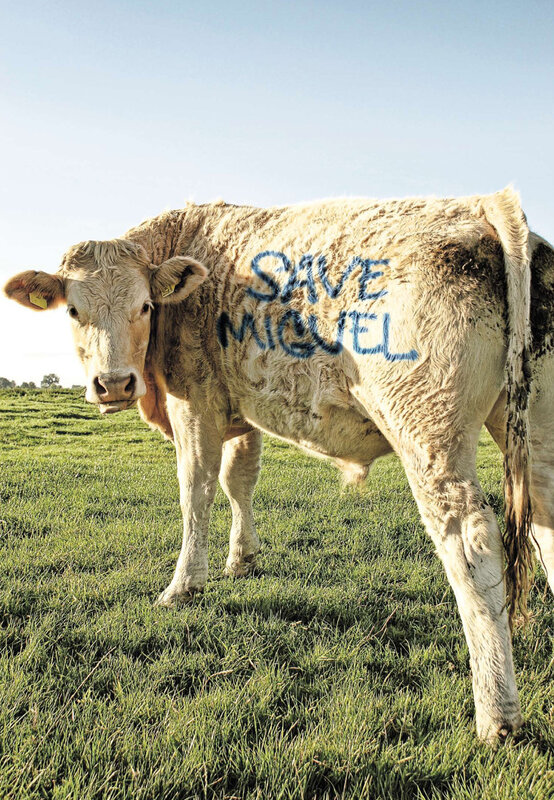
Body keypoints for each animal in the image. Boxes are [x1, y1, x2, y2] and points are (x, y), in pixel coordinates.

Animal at [4, 187, 553, 742]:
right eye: (74, 311)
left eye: (144, 306)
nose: (114, 384)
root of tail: (480, 206)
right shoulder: (241, 408)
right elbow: (238, 481)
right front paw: (242, 560)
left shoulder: (195, 403)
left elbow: (196, 489)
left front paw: (184, 585)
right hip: (532, 426)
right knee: (546, 522)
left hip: (429, 431)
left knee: (470, 542)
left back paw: (497, 715)